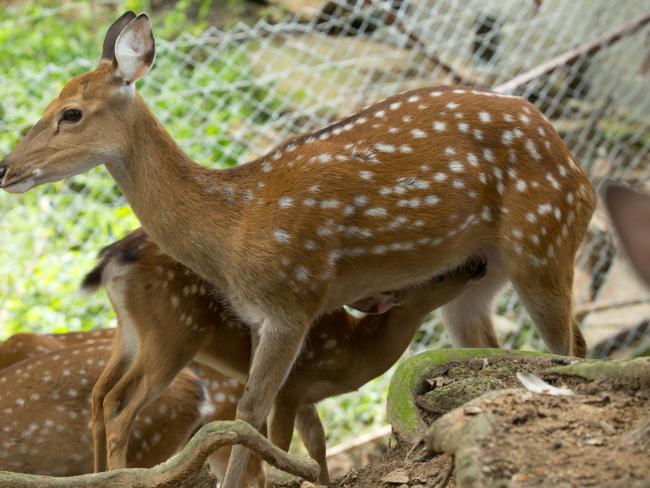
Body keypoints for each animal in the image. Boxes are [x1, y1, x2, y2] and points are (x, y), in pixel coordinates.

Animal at [81, 227, 480, 482]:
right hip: (174, 334)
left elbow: (318, 445)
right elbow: (280, 445)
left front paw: (324, 482)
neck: (351, 352)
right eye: (440, 275)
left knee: (102, 395)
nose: (479, 264)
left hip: (130, 333)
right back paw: (122, 473)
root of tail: (113, 257)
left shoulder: (306, 396)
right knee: (121, 409)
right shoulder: (291, 386)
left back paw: (99, 474)